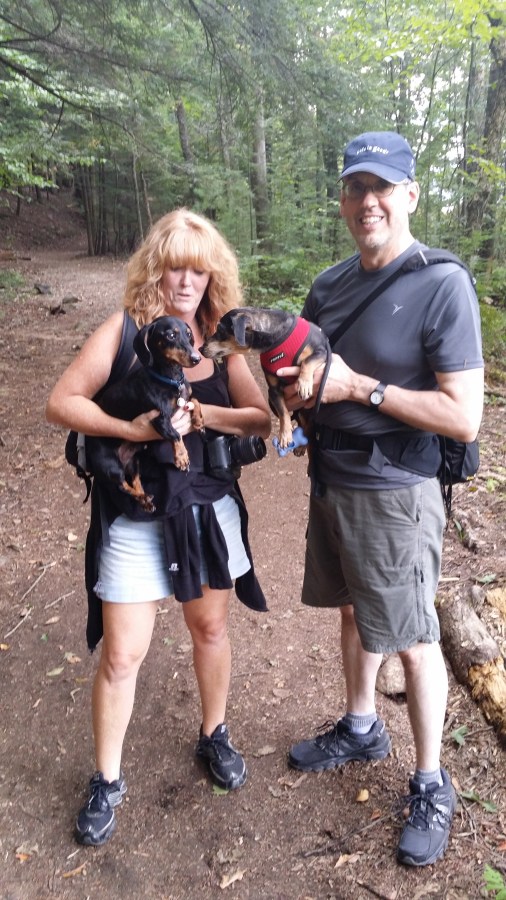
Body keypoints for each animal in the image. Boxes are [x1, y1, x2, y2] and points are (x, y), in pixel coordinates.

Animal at [86, 315, 205, 512]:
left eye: (189, 334)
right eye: (170, 335)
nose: (197, 358)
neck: (170, 380)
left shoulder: (186, 399)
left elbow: (195, 401)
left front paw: (199, 422)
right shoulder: (159, 419)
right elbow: (176, 434)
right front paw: (182, 457)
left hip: (133, 462)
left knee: (135, 481)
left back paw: (145, 500)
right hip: (111, 465)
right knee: (122, 486)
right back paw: (143, 497)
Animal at [200, 307, 329, 450]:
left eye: (220, 330)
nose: (200, 348)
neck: (274, 338)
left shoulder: (322, 352)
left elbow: (307, 361)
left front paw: (304, 384)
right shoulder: (273, 391)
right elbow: (283, 413)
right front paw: (285, 435)